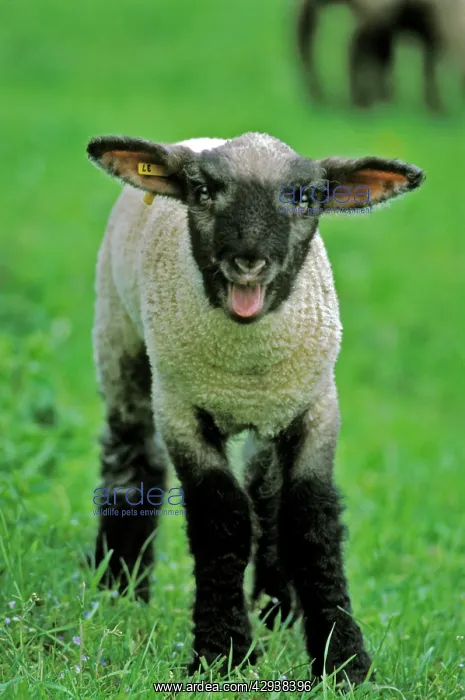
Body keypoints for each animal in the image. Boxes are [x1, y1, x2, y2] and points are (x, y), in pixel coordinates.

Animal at [86, 131, 425, 683]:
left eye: (307, 196)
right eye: (203, 192)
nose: (248, 259)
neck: (245, 365)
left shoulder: (315, 408)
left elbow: (309, 520)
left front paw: (343, 661)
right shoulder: (182, 410)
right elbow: (221, 518)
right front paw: (222, 652)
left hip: (274, 412)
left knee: (265, 493)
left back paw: (277, 610)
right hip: (120, 337)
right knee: (131, 460)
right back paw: (121, 586)